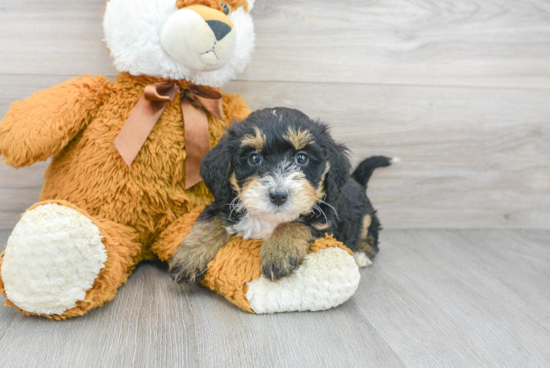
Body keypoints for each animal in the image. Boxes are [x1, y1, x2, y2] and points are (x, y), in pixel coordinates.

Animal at [170, 106, 394, 282]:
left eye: (301, 158)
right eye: (254, 158)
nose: (278, 196)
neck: (268, 219)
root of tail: (357, 181)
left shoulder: (325, 220)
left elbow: (295, 223)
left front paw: (279, 252)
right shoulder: (225, 201)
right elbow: (208, 221)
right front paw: (187, 257)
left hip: (366, 217)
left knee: (370, 234)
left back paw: (362, 253)